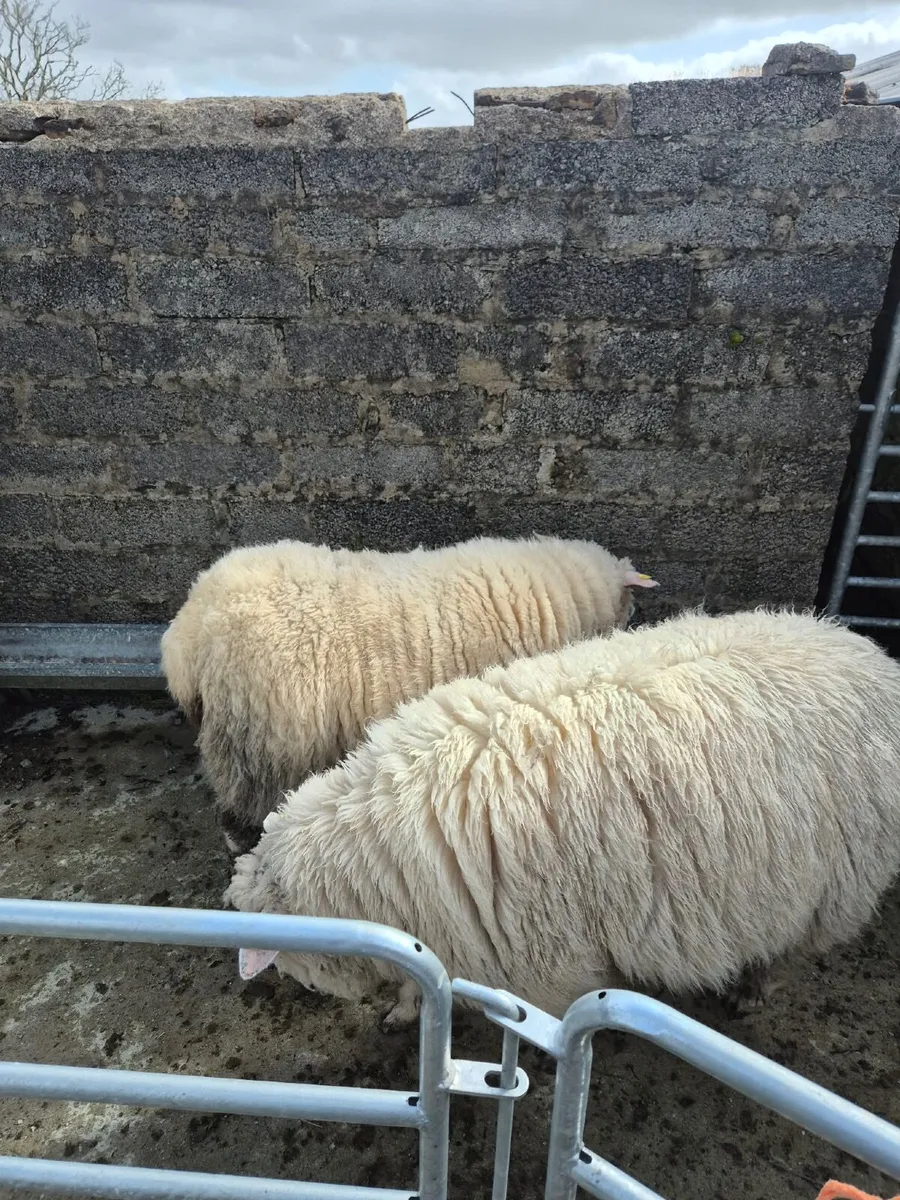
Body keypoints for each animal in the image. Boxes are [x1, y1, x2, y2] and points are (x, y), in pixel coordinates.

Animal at [227, 608, 900, 1028]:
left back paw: (754, 990)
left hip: (837, 883)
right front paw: (403, 1008)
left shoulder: (548, 964)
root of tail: (868, 651)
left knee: (793, 946)